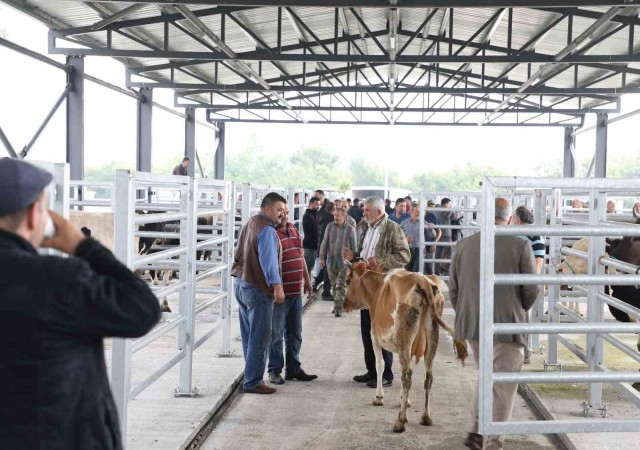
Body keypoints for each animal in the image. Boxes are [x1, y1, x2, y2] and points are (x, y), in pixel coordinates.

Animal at [342, 262, 468, 434]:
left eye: (347, 281)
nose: (344, 304)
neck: (377, 289)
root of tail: (423, 281)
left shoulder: (374, 336)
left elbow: (380, 364)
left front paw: (379, 397)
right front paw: (405, 400)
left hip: (405, 336)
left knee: (407, 375)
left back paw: (400, 422)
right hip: (431, 336)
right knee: (427, 376)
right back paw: (426, 417)